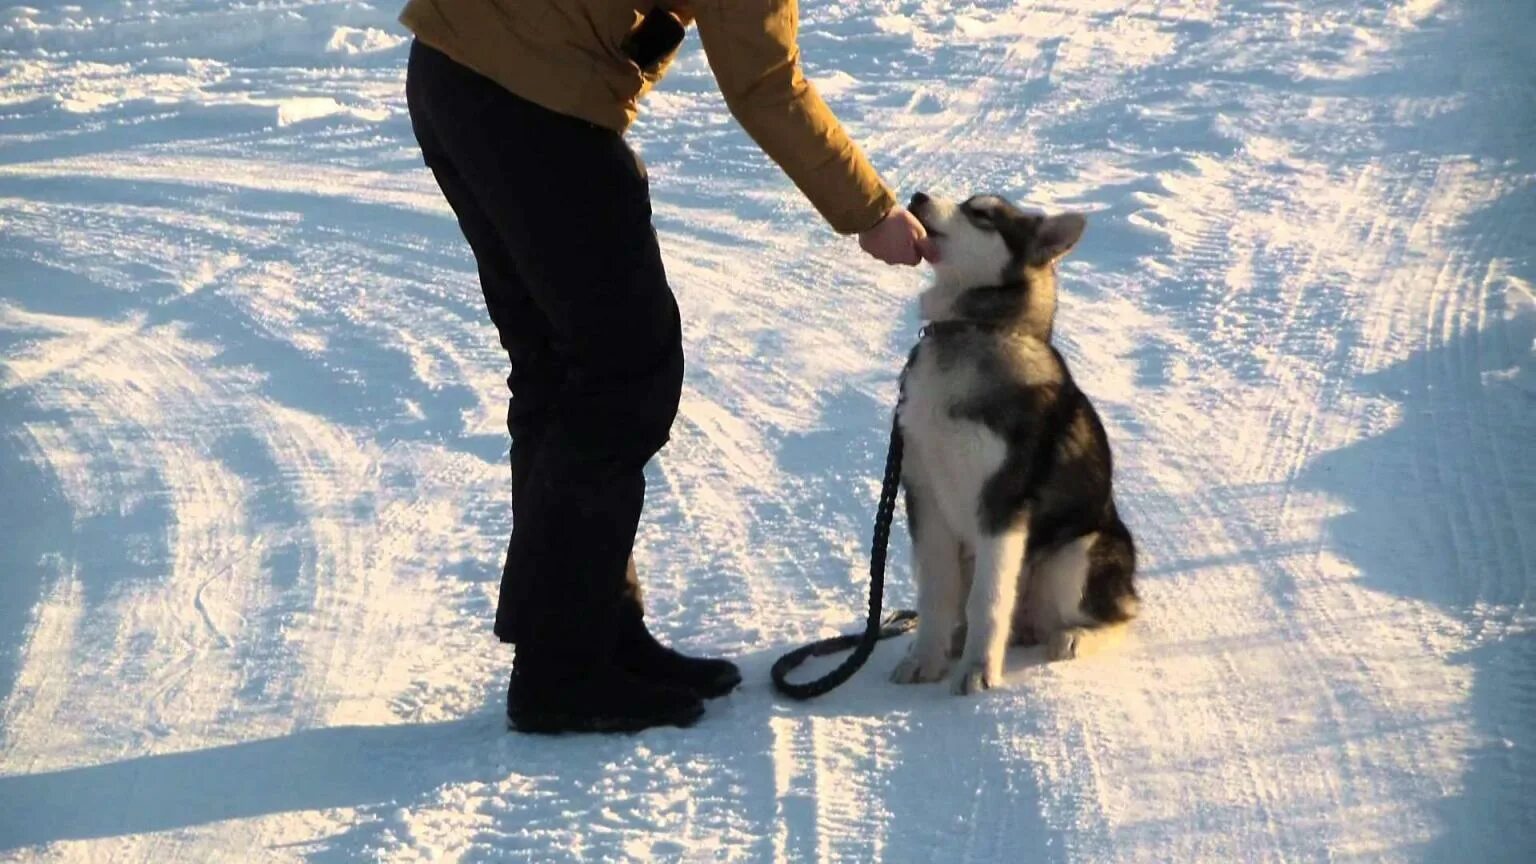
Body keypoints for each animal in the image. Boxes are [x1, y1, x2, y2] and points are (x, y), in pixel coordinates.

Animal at [897, 189, 1136, 691]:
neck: (973, 331)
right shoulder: (925, 496)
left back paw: (1075, 638)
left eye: (982, 214)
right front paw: (926, 658)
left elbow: (988, 601)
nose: (918, 195)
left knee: (1119, 616)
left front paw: (979, 671)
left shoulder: (1001, 503)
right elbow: (936, 593)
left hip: (1075, 554)